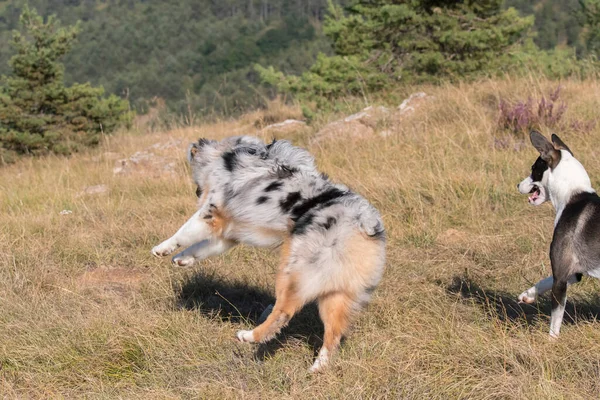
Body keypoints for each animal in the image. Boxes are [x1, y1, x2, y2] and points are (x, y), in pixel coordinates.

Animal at [516, 131, 600, 338]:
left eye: (534, 170)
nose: (518, 185)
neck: (571, 195)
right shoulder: (574, 273)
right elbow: (544, 280)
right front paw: (528, 295)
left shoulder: (561, 277)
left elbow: (555, 321)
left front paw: (550, 342)